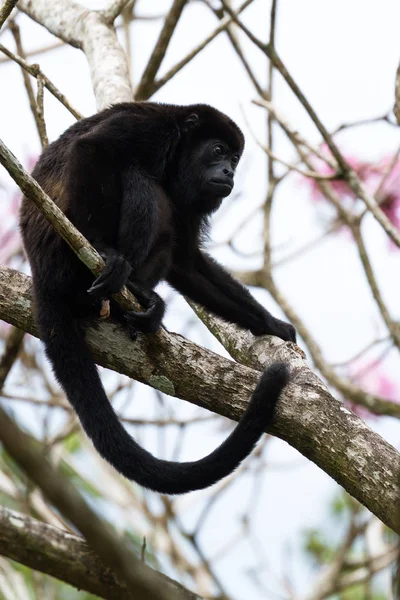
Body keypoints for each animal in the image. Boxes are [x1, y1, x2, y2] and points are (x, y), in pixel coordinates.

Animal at [20, 103, 296, 494]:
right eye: (217, 151)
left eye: (234, 158)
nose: (229, 172)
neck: (179, 151)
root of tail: (41, 276)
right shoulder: (149, 130)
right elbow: (93, 149)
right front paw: (104, 250)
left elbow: (187, 261)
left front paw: (271, 323)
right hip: (63, 262)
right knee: (141, 181)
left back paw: (137, 300)